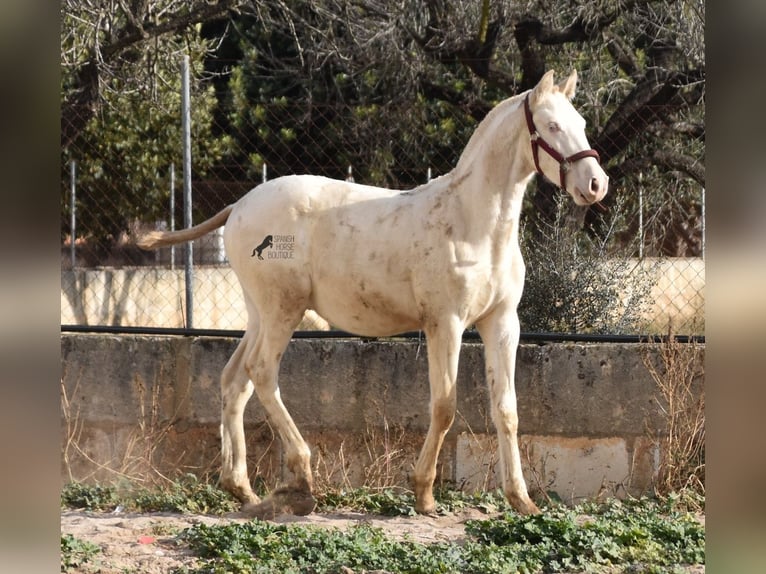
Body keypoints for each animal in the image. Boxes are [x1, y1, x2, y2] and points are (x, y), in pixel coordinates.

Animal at [136, 70, 608, 520]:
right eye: (551, 126)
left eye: (582, 124)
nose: (596, 184)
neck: (474, 225)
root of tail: (238, 206)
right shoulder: (446, 323)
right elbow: (444, 406)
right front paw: (424, 494)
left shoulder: (502, 323)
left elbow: (506, 409)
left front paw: (522, 500)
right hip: (284, 310)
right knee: (262, 372)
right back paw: (300, 482)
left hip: (260, 313)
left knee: (235, 380)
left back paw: (244, 490)